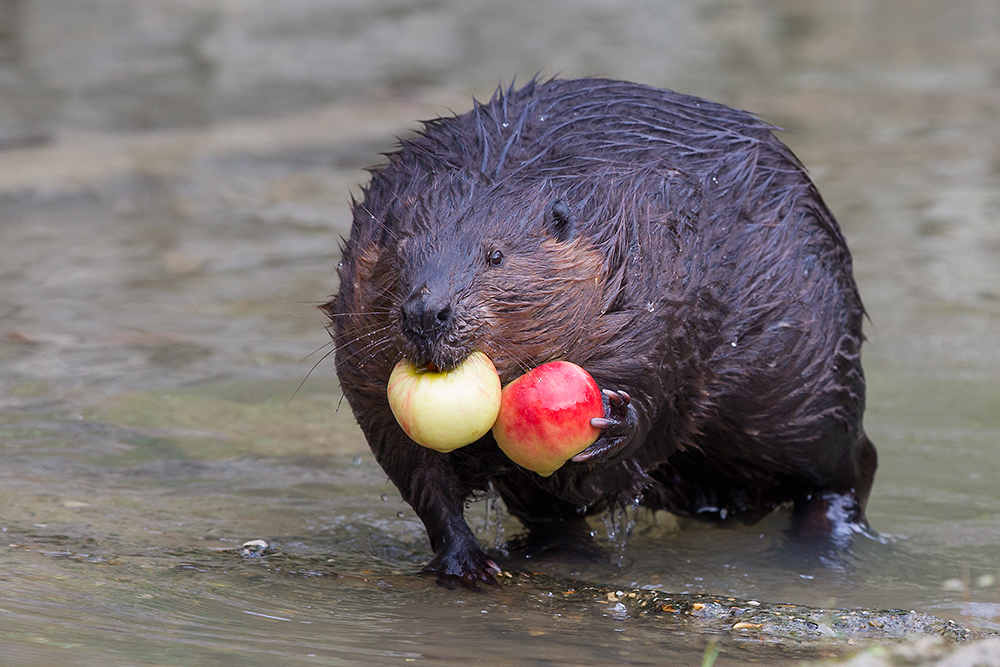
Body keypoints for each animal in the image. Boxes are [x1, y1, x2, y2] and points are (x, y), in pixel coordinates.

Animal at [328, 78, 876, 588]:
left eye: (495, 255)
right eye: (402, 251)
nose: (428, 311)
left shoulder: (659, 277)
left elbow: (659, 376)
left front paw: (614, 421)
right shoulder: (362, 356)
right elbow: (415, 468)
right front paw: (467, 564)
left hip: (805, 383)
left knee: (847, 465)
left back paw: (822, 539)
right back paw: (552, 551)